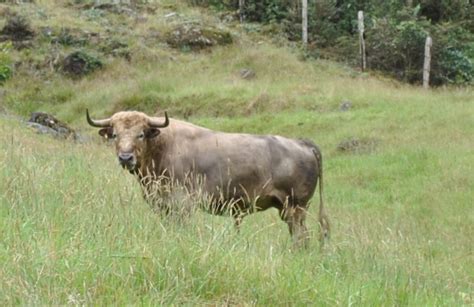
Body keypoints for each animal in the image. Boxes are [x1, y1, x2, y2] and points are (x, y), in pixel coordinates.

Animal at [86, 110, 330, 248]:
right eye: (115, 134)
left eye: (141, 133)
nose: (125, 157)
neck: (163, 146)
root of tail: (302, 143)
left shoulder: (182, 205)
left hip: (295, 209)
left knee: (302, 237)